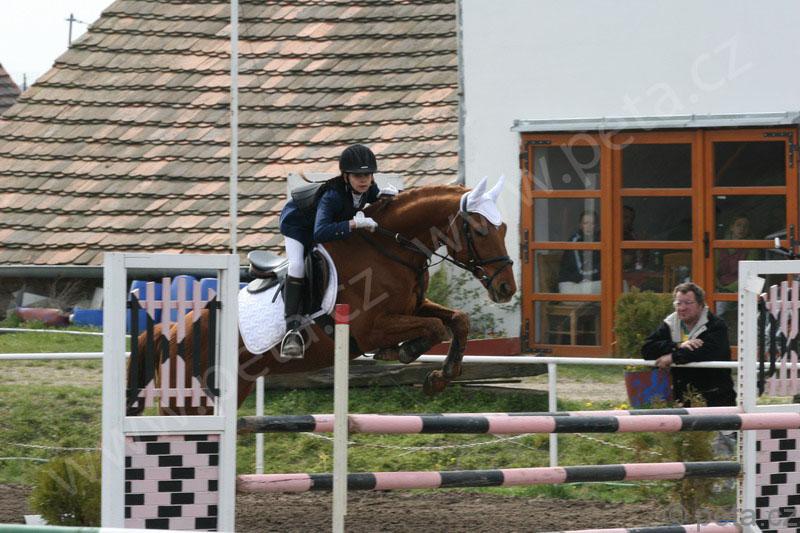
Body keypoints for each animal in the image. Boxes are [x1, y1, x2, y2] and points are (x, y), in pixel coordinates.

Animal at [127, 177, 516, 414]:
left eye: (503, 228)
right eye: (480, 229)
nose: (506, 288)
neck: (389, 247)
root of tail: (169, 334)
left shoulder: (414, 306)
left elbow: (457, 321)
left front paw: (440, 378)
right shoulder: (370, 329)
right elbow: (434, 328)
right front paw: (402, 352)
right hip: (192, 401)